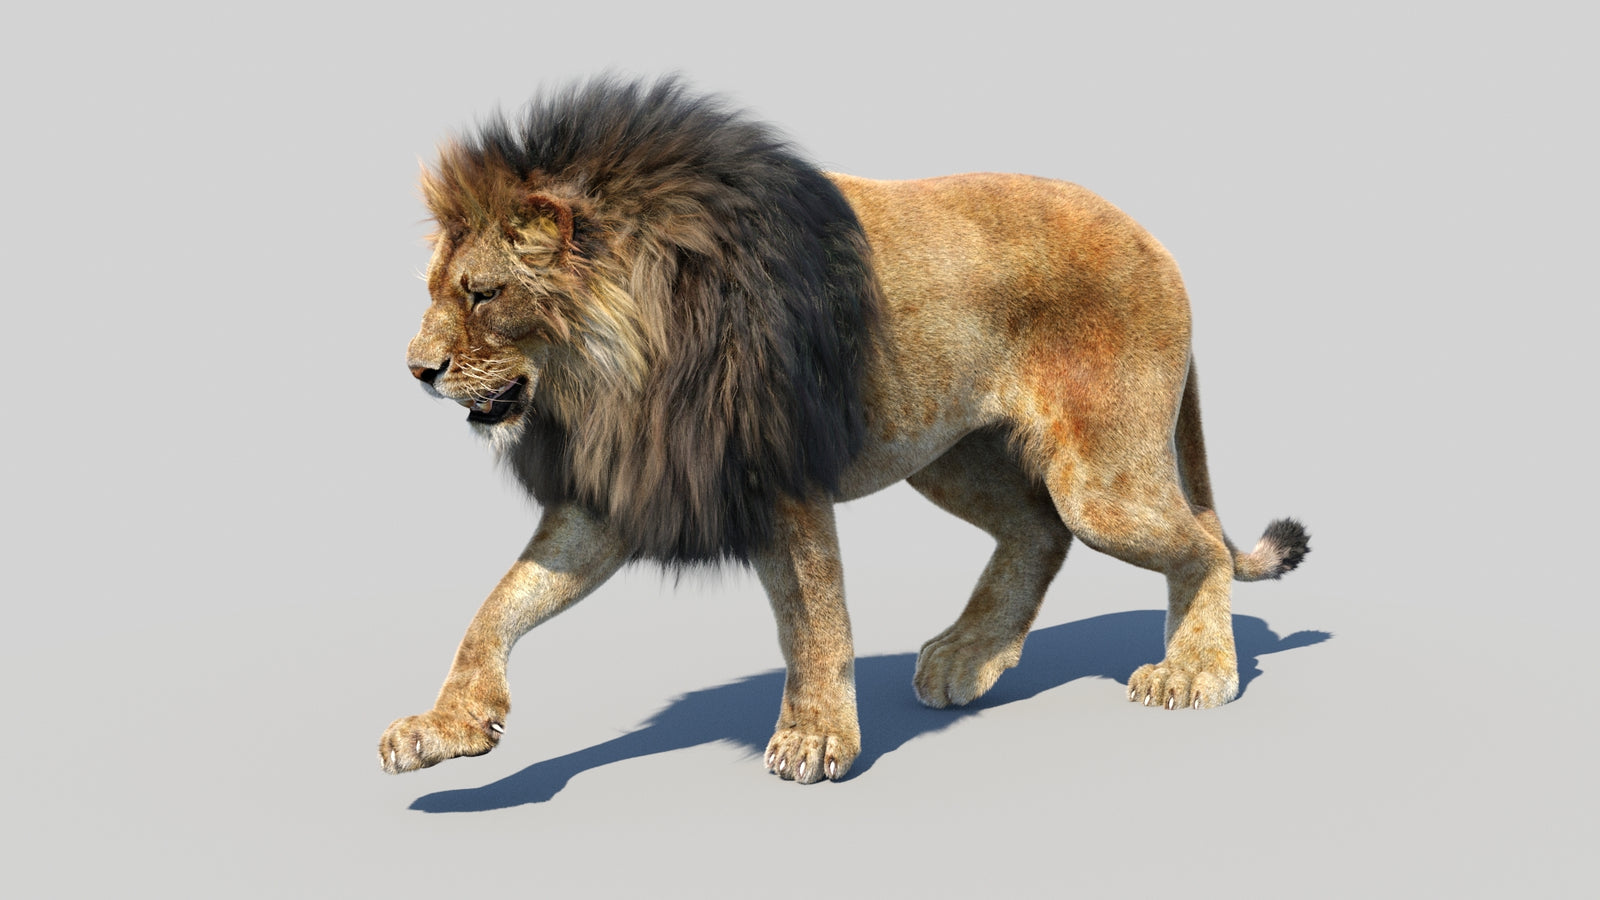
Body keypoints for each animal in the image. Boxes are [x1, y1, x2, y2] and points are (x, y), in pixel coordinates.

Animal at [379, 77, 1309, 784]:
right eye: (435, 290)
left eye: (483, 293)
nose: (415, 370)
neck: (612, 374)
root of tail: (1158, 244)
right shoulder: (620, 487)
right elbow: (499, 606)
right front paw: (444, 726)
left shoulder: (774, 473)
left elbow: (815, 618)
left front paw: (817, 737)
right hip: (946, 452)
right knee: (1039, 531)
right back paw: (968, 657)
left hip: (1100, 477)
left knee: (1198, 545)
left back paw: (1195, 672)